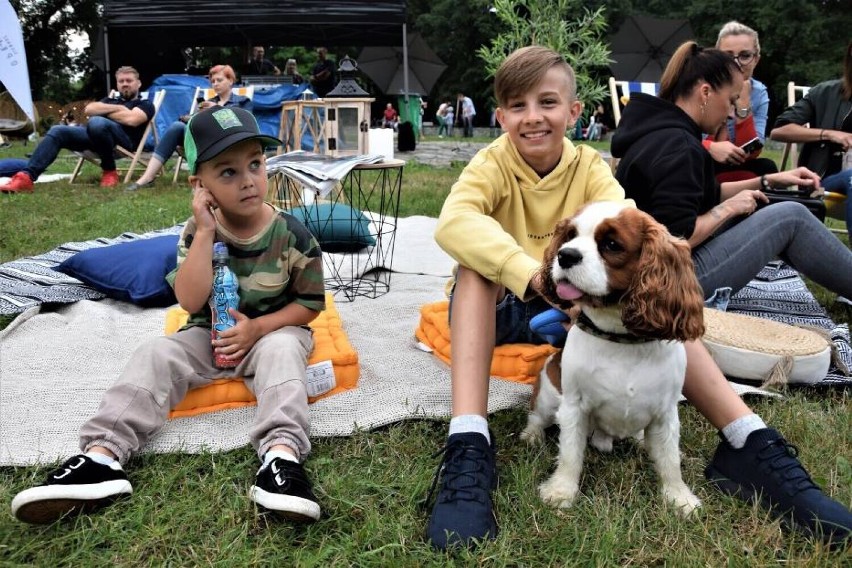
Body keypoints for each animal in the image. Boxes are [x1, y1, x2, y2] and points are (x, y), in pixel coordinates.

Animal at [524, 202, 704, 516]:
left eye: (611, 245)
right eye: (570, 235)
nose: (565, 255)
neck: (621, 339)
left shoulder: (666, 412)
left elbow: (670, 461)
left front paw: (678, 497)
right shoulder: (573, 408)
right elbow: (570, 454)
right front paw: (561, 491)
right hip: (548, 396)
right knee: (538, 416)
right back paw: (532, 434)